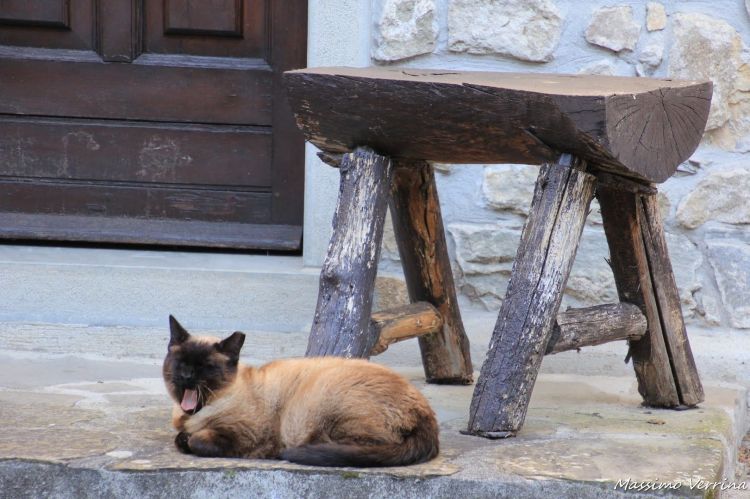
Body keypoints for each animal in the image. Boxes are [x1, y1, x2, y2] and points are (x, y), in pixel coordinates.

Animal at [162, 315, 439, 467]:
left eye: (205, 366)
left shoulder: (243, 436)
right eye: (182, 363)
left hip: (325, 401)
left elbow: (195, 441)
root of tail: (427, 413)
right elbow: (181, 438)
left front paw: (190, 440)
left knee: (364, 449)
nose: (187, 376)